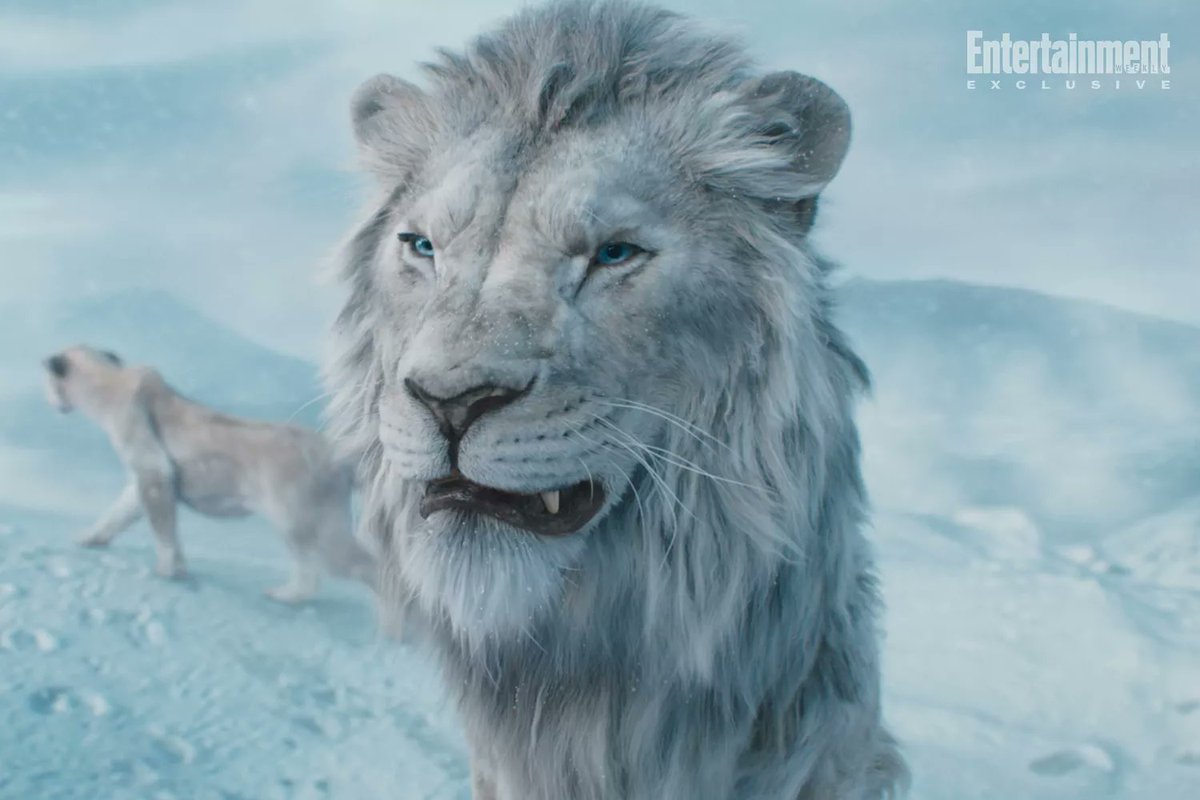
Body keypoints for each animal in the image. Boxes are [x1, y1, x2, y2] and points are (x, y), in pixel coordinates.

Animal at [43, 344, 376, 601]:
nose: (53, 403)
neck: (110, 384)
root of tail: (339, 456)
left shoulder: (153, 467)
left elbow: (161, 526)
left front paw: (168, 571)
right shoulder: (143, 480)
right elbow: (118, 514)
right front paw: (88, 538)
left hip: (304, 520)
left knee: (339, 568)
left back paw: (288, 595)